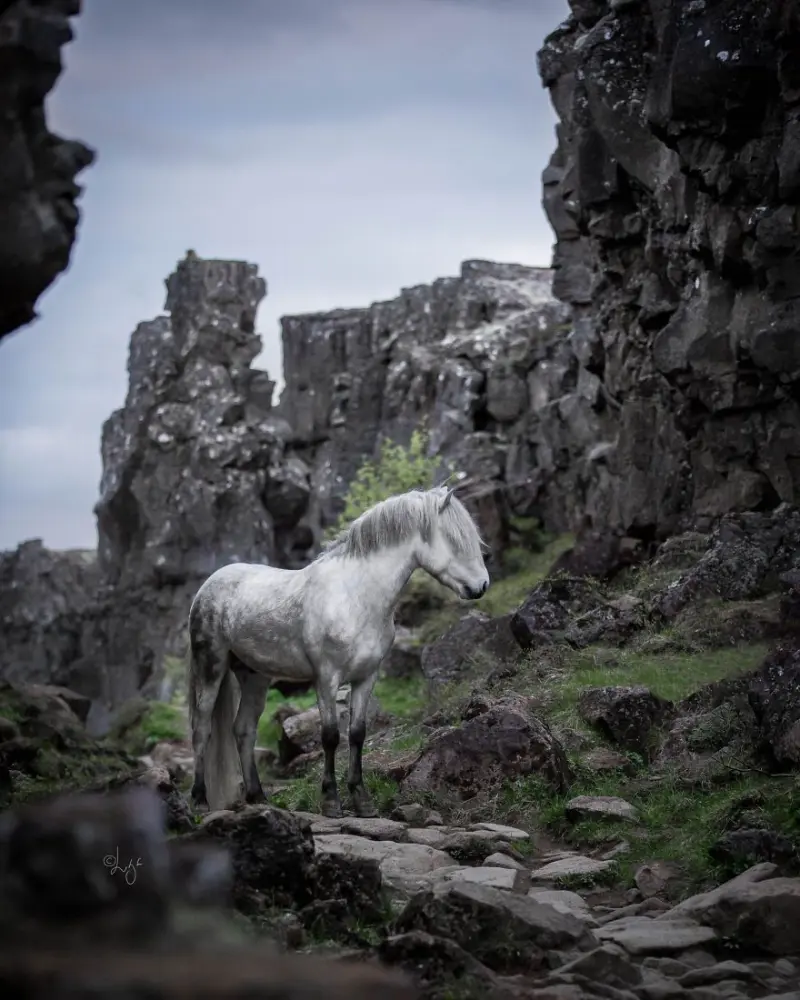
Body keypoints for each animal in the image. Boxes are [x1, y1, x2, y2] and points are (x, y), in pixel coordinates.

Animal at [186, 484, 490, 818]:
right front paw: (331, 801)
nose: (481, 586)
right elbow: (330, 736)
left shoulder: (366, 677)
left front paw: (362, 800)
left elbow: (357, 734)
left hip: (254, 675)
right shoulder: (326, 678)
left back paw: (258, 797)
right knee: (202, 729)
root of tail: (210, 584)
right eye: (454, 538)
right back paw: (199, 800)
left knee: (243, 730)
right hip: (210, 666)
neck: (355, 597)